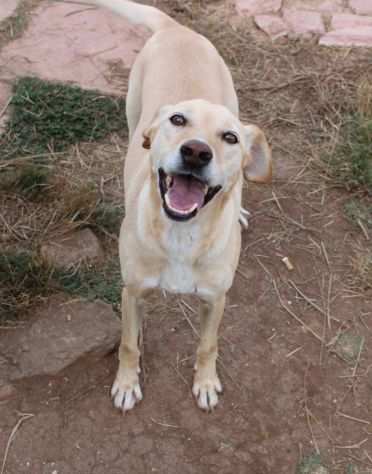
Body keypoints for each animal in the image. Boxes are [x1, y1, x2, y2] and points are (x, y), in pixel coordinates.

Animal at [77, 0, 270, 412]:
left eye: (230, 137)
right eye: (177, 120)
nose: (196, 152)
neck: (183, 232)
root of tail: (178, 29)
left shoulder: (216, 299)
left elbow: (208, 345)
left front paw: (206, 383)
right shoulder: (131, 293)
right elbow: (129, 345)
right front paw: (127, 384)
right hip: (133, 113)